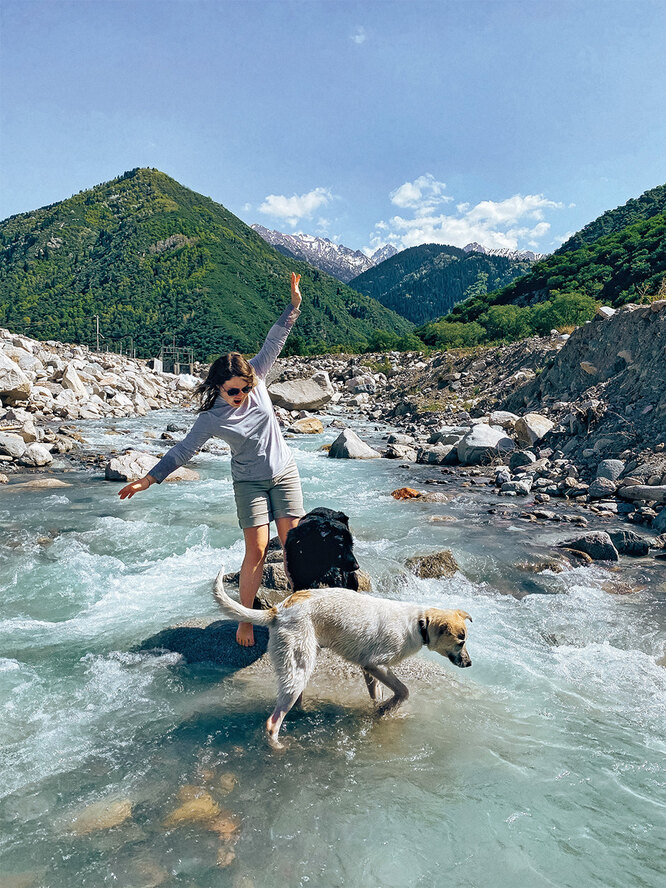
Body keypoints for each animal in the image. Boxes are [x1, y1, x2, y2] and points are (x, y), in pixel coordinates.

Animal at [214, 568, 472, 744]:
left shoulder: (368, 670)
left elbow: (377, 694)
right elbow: (403, 691)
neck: (420, 623)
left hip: (300, 668)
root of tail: (279, 610)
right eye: (461, 641)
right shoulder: (376, 664)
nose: (469, 663)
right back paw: (279, 746)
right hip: (298, 666)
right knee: (272, 722)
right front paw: (387, 709)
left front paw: (379, 709)